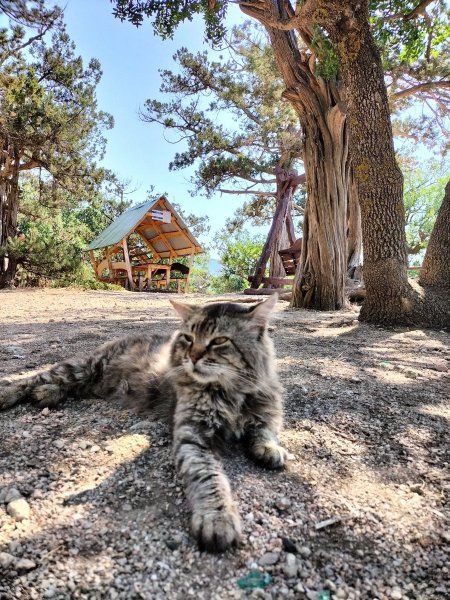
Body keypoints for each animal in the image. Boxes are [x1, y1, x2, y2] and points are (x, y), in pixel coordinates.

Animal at [0, 296, 286, 552]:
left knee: (64, 388)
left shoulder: (266, 411)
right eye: (188, 338)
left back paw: (47, 394)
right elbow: (209, 478)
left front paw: (270, 449)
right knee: (34, 379)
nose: (193, 357)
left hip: (84, 379)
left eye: (219, 341)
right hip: (78, 368)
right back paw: (11, 394)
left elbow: (264, 431)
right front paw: (217, 518)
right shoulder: (192, 436)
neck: (231, 395)